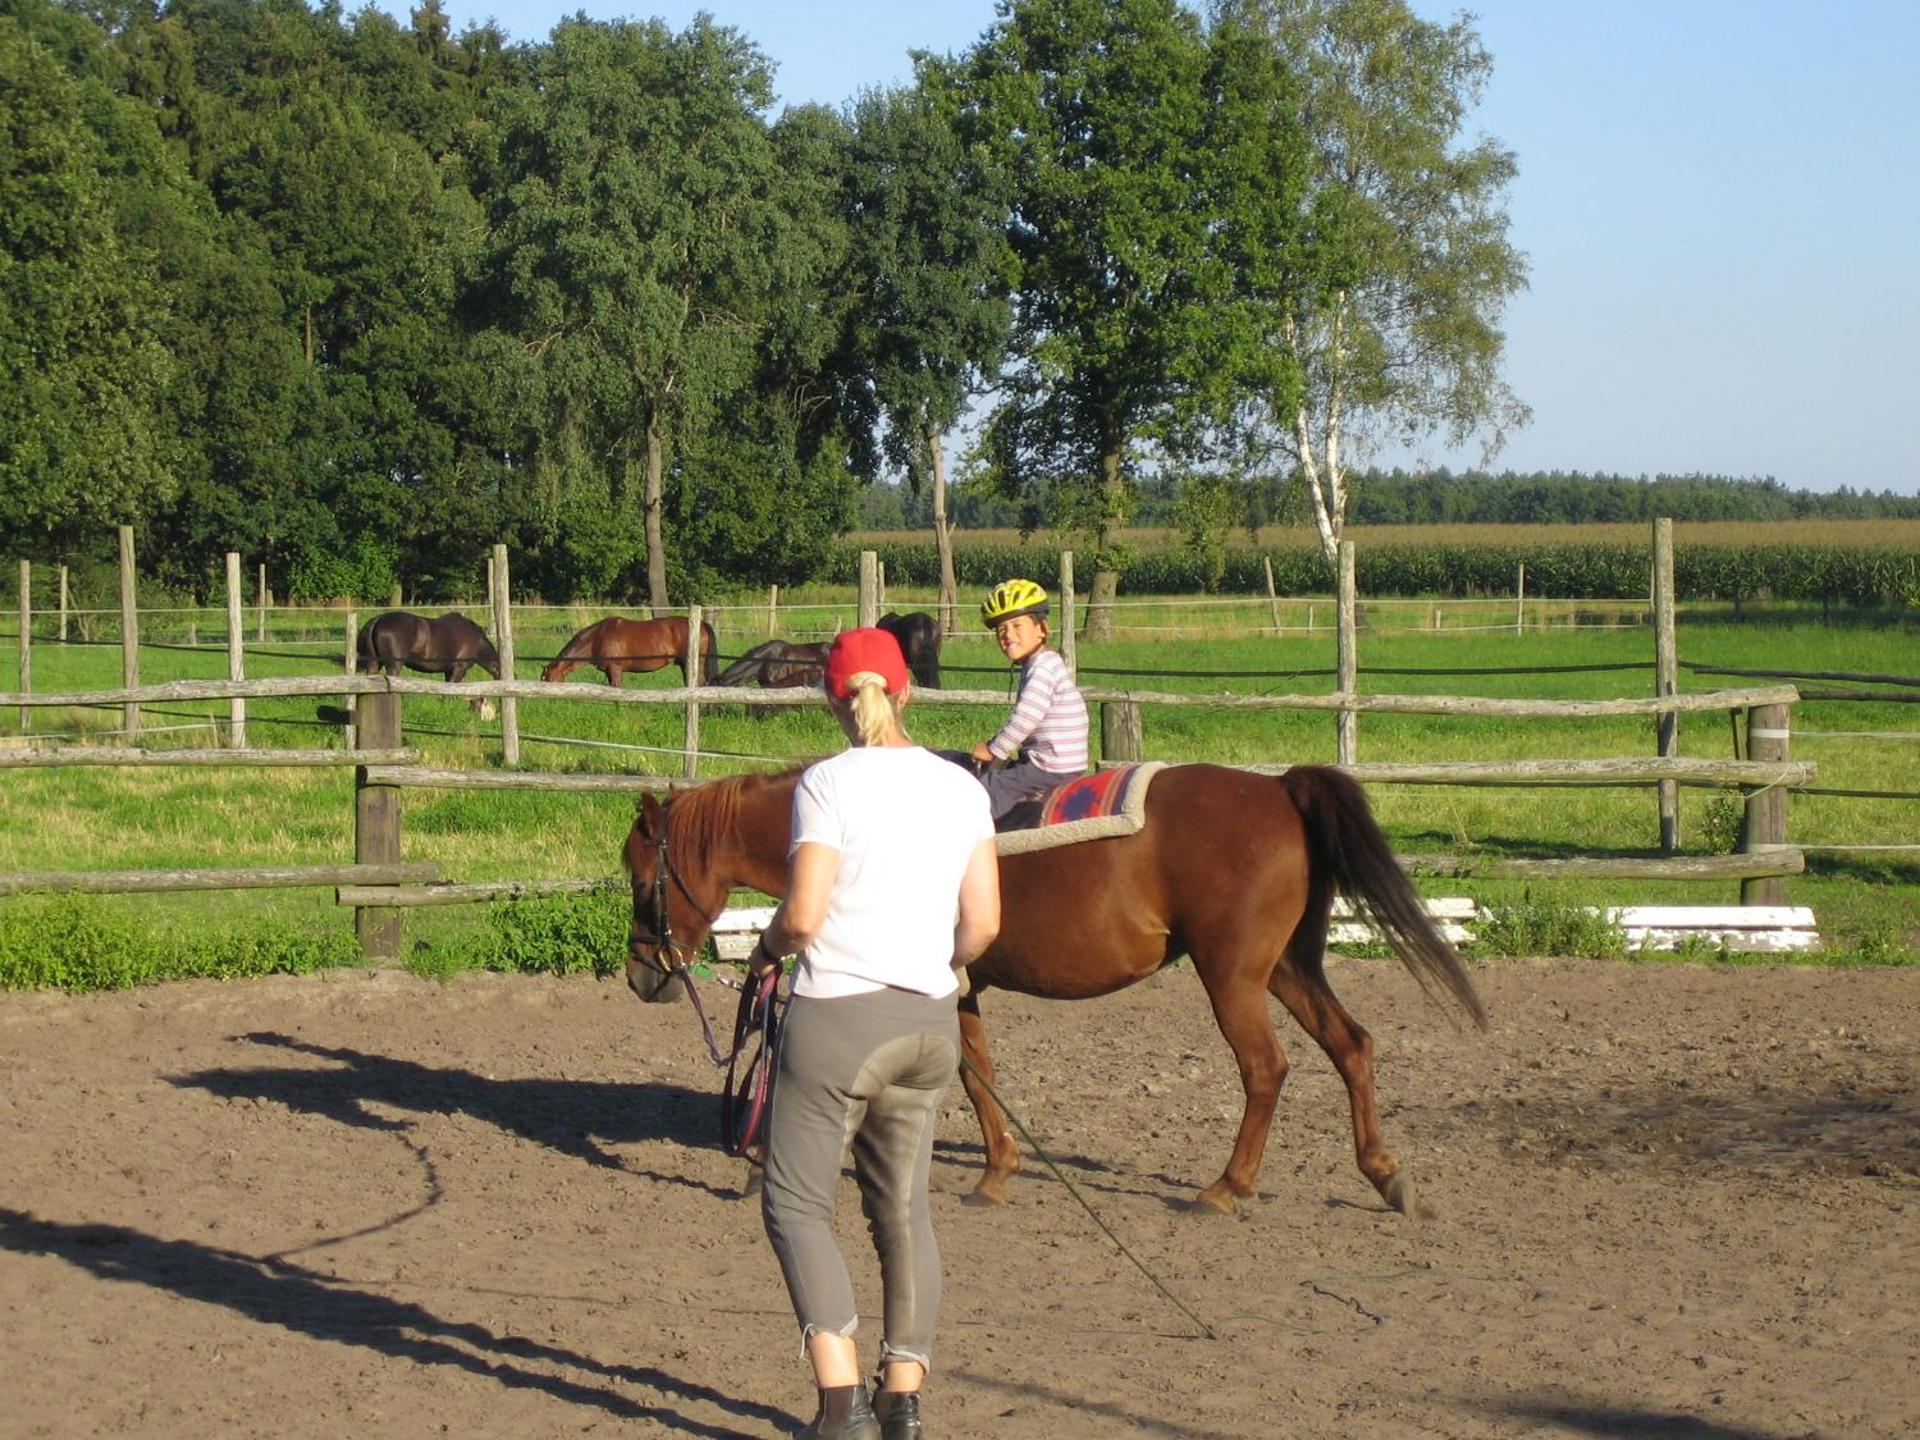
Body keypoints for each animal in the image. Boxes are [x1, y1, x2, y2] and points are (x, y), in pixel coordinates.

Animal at [622, 763, 1485, 1217]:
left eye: (639, 874)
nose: (640, 974)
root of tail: (1278, 790)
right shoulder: (960, 986)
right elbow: (976, 1074)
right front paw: (997, 1171)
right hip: (1285, 967)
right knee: (1351, 1045)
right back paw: (1385, 1174)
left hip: (1234, 975)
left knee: (1265, 1071)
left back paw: (1224, 1188)